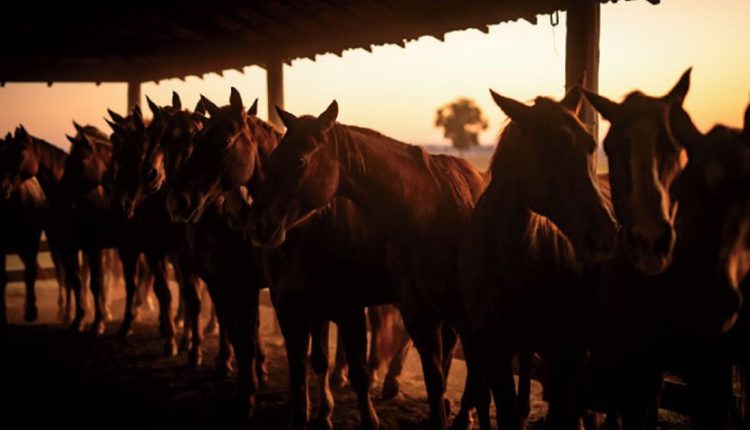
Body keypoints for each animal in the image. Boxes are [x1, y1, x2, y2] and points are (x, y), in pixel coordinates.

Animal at [250, 100, 490, 426]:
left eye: (300, 160)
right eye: (272, 159)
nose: (259, 225)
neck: (429, 215)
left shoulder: (349, 308)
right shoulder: (417, 315)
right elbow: (433, 381)